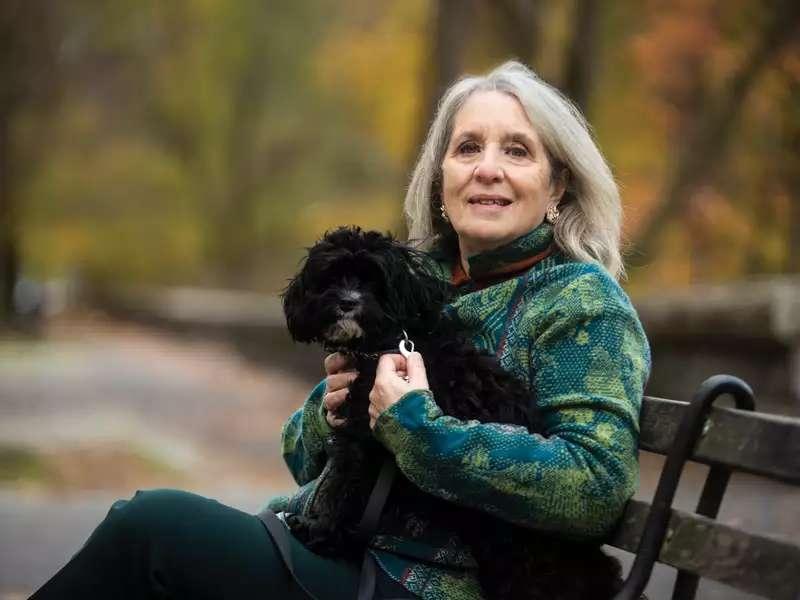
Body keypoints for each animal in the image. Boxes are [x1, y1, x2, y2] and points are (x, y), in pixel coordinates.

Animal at [282, 226, 624, 600]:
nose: (347, 301)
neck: (385, 345)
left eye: (375, 281)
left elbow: (342, 491)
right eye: (331, 276)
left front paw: (319, 533)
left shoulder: (366, 443)